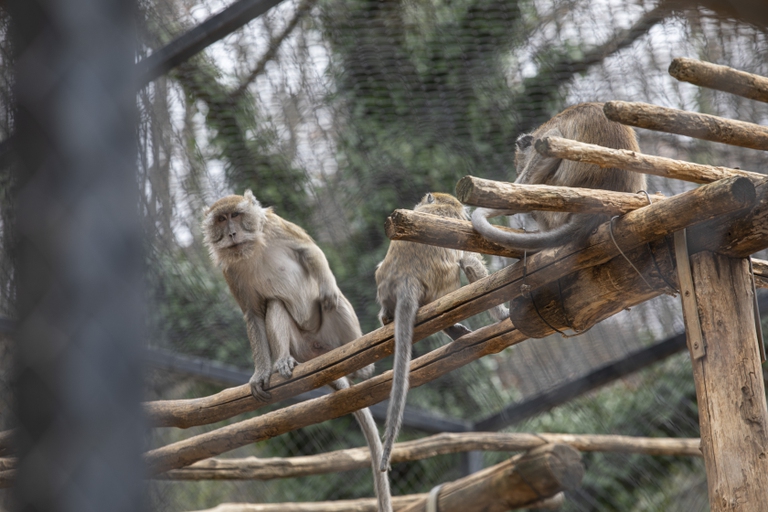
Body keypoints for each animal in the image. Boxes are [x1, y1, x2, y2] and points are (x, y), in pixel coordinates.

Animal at [203, 190, 391, 512]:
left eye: (237, 215)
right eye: (221, 219)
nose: (231, 233)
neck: (252, 249)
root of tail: (318, 354)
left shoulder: (276, 226)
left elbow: (308, 250)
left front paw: (326, 285)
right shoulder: (230, 271)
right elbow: (254, 314)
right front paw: (260, 372)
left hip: (332, 336)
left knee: (336, 302)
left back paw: (361, 364)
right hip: (300, 345)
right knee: (275, 305)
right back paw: (282, 362)